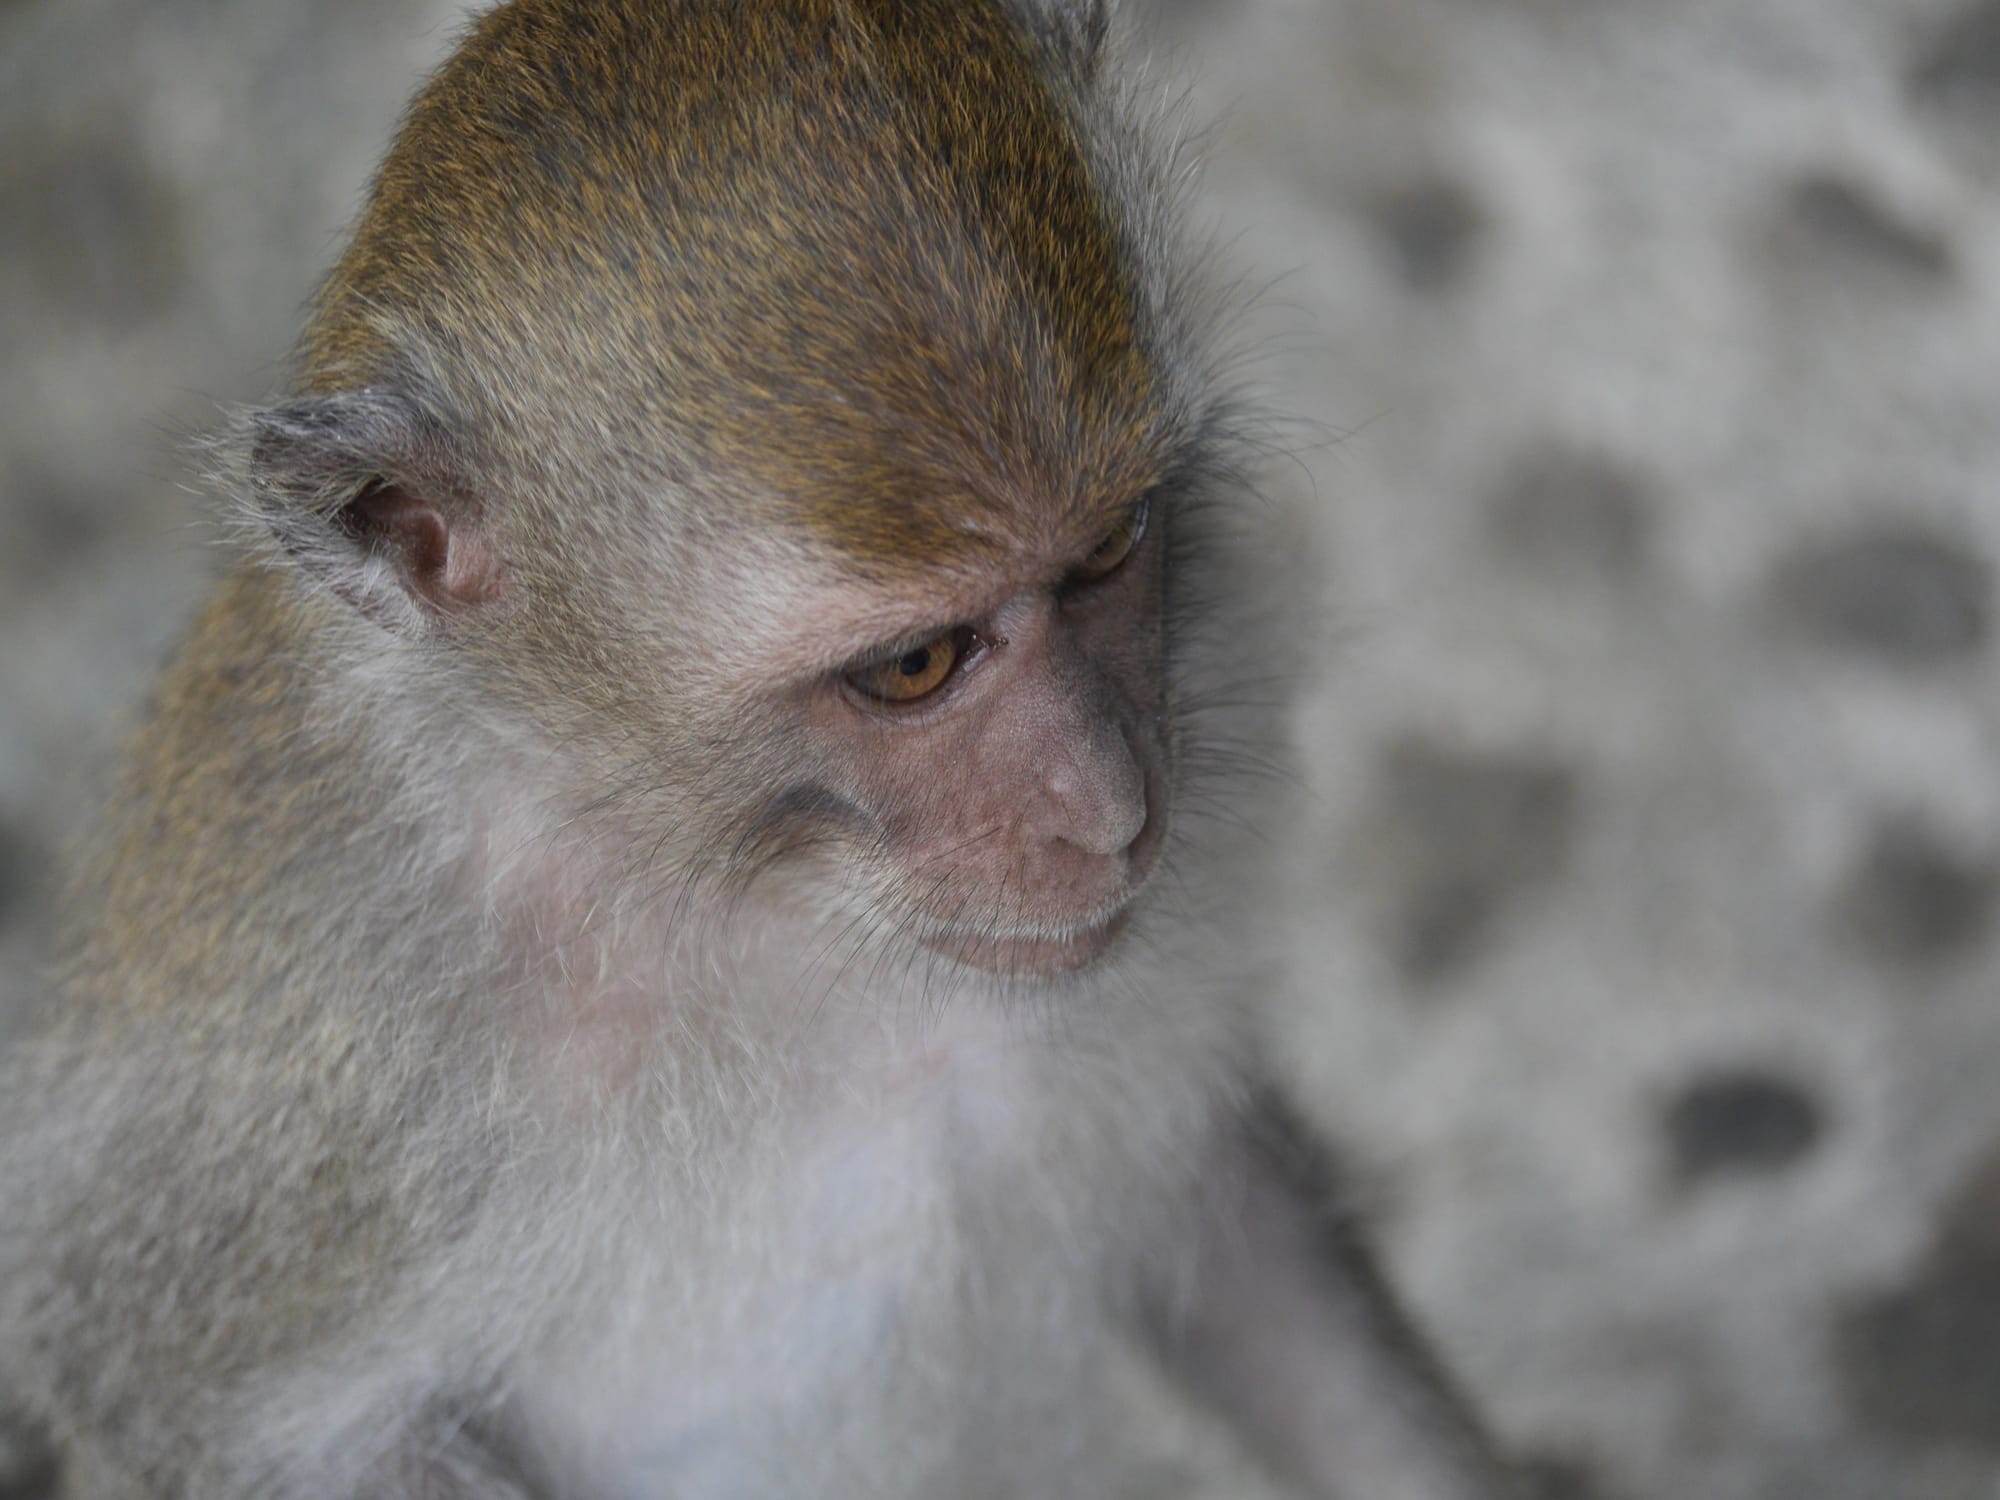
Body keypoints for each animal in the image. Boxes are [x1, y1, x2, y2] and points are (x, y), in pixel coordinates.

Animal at [0, 0, 1512, 1496]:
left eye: (1108, 551)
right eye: (914, 665)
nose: (1110, 811)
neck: (712, 871)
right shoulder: (321, 1071)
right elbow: (201, 1403)